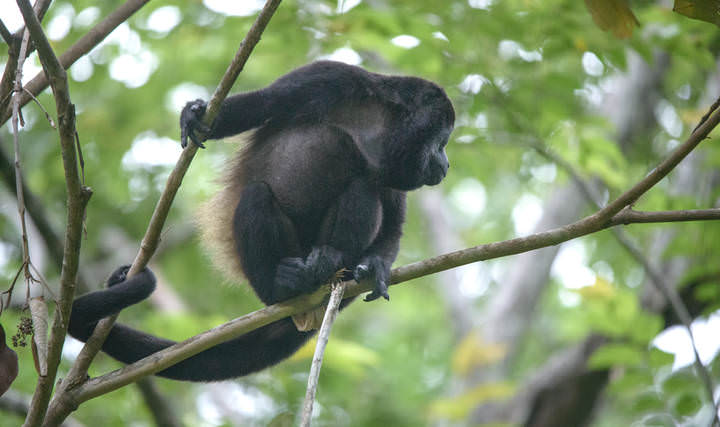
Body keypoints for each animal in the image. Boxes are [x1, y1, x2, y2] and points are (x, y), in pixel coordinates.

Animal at [68, 61, 455, 381]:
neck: (381, 124)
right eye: (442, 141)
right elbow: (262, 104)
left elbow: (393, 223)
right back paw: (282, 285)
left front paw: (376, 267)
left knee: (363, 187)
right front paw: (193, 114)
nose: (446, 163)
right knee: (256, 195)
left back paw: (328, 262)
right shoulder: (330, 76)